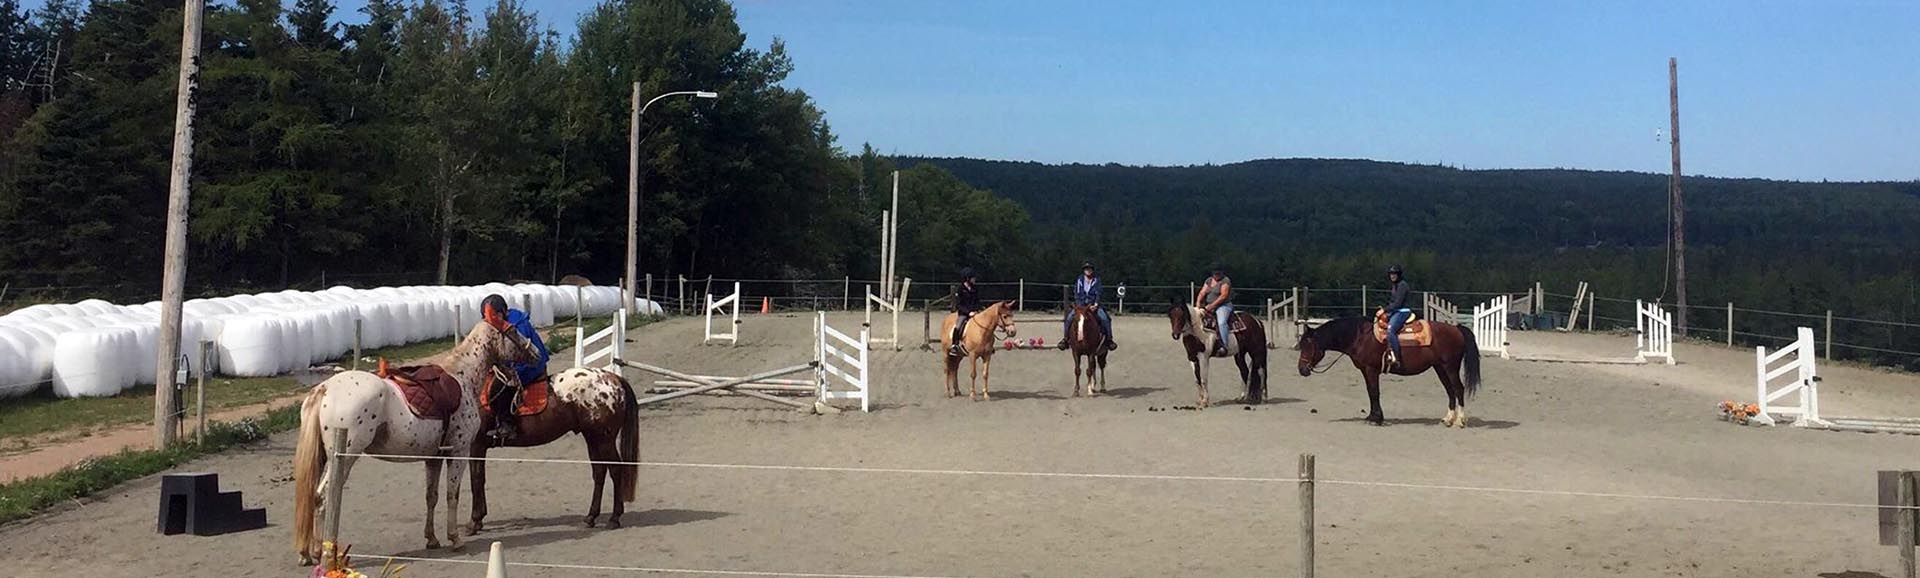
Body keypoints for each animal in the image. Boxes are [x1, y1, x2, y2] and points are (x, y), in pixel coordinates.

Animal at [289, 316, 541, 560]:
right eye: (512, 330)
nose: (537, 353)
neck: (462, 378)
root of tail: (323, 389)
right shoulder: (459, 452)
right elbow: (452, 495)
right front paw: (455, 538)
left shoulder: (434, 458)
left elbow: (432, 496)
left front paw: (432, 539)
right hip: (344, 458)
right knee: (323, 498)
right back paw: (324, 551)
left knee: (315, 497)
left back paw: (309, 552)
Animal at [468, 364, 641, 529]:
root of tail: (615, 379)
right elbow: (478, 478)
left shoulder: (476, 446)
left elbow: (476, 478)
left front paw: (474, 521)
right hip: (593, 439)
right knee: (599, 472)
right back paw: (591, 517)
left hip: (605, 440)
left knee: (615, 471)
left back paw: (614, 518)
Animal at [1290, 313, 1482, 424]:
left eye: (1308, 345)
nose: (1302, 369)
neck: (1360, 337)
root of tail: (1456, 329)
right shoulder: (1365, 370)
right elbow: (1370, 392)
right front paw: (1372, 416)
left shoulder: (1371, 369)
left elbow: (1375, 392)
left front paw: (1376, 419)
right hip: (1440, 368)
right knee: (1450, 390)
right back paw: (1448, 419)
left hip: (1450, 367)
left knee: (1458, 388)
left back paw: (1460, 421)